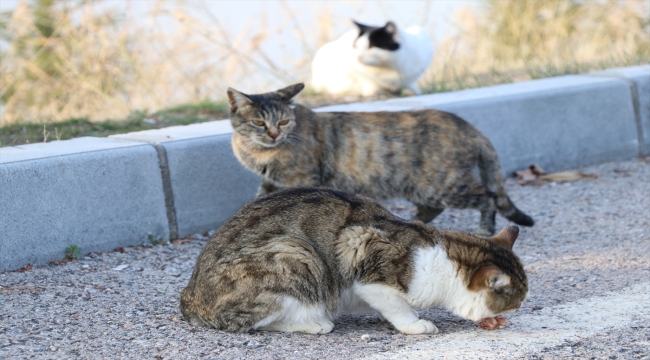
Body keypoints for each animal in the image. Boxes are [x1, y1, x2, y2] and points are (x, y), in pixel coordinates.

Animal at [180, 187, 524, 334]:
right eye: (517, 301)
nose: (518, 311)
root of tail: (189, 297)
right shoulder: (364, 259)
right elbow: (397, 306)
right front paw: (414, 324)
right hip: (297, 254)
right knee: (255, 322)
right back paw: (314, 323)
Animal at [228, 83, 532, 235]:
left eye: (284, 121)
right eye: (258, 122)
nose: (274, 134)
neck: (258, 152)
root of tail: (467, 125)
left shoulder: (300, 178)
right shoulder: (270, 180)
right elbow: (259, 200)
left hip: (444, 184)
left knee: (488, 197)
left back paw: (484, 230)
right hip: (424, 187)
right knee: (433, 208)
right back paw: (413, 219)